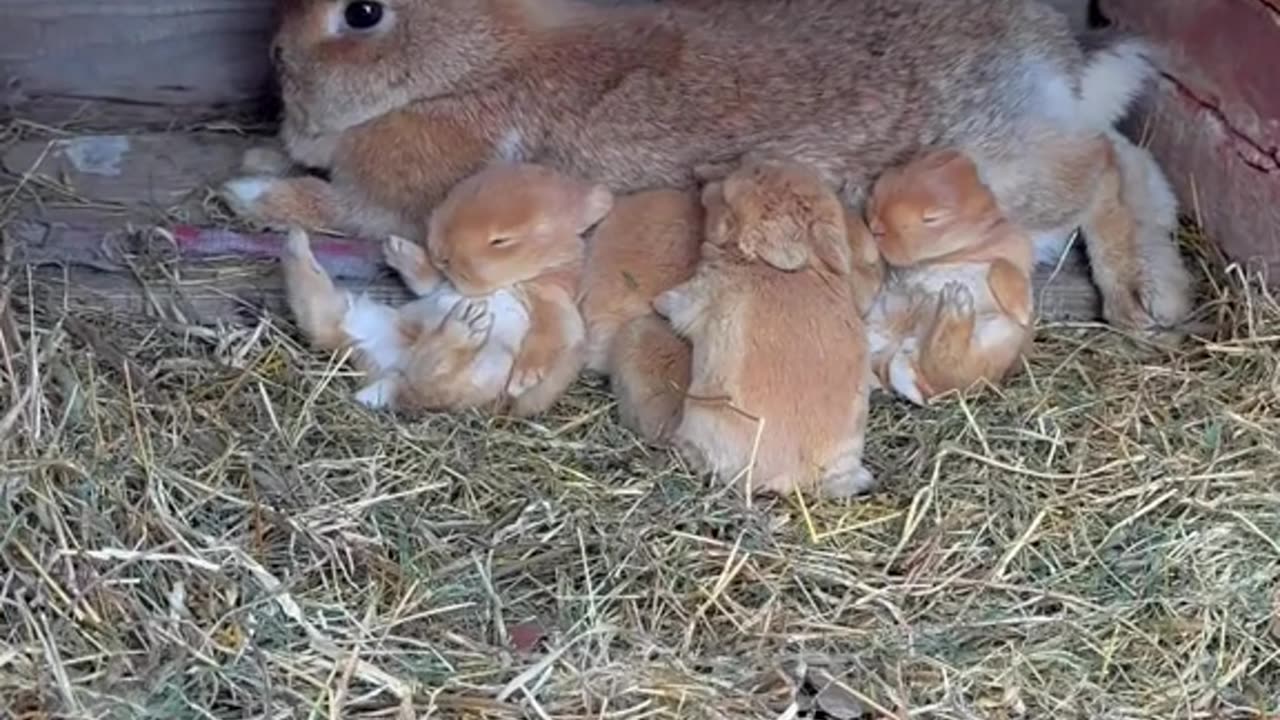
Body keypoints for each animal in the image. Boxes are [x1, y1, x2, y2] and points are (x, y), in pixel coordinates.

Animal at [225, 0, 1192, 330]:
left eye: (361, 12)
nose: (270, 55)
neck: (468, 64)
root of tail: (1051, 58)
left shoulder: (406, 205)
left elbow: (333, 208)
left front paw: (248, 187)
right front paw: (259, 151)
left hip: (994, 175)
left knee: (1098, 168)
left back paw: (1138, 297)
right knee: (1129, 157)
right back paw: (1162, 287)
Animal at [285, 159, 614, 412]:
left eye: (501, 240)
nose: (440, 250)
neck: (517, 280)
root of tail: (388, 374)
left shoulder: (553, 304)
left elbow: (550, 336)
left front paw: (523, 380)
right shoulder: (441, 285)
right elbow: (427, 281)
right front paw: (397, 249)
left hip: (475, 373)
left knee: (429, 378)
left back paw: (464, 324)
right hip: (363, 317)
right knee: (318, 314)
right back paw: (295, 242)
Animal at [655, 154, 875, 497]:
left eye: (726, 199)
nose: (701, 182)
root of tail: (789, 477)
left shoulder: (698, 296)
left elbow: (675, 304)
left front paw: (656, 302)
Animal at [860, 147, 1039, 404]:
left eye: (932, 218)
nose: (876, 227)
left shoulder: (1014, 255)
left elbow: (1002, 266)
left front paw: (1023, 311)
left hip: (997, 336)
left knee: (952, 369)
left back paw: (956, 302)